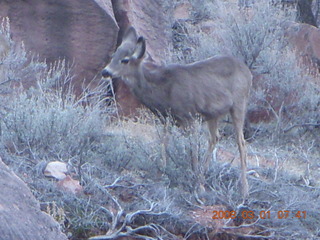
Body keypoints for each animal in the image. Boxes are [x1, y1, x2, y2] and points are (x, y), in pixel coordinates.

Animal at [102, 26, 252, 199]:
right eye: (113, 56)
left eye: (125, 60)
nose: (105, 72)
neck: (162, 89)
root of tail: (248, 72)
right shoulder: (167, 118)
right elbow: (164, 143)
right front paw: (162, 174)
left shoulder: (189, 115)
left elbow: (192, 150)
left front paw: (195, 185)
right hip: (212, 114)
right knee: (214, 138)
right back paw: (204, 178)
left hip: (239, 103)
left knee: (241, 142)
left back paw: (243, 189)